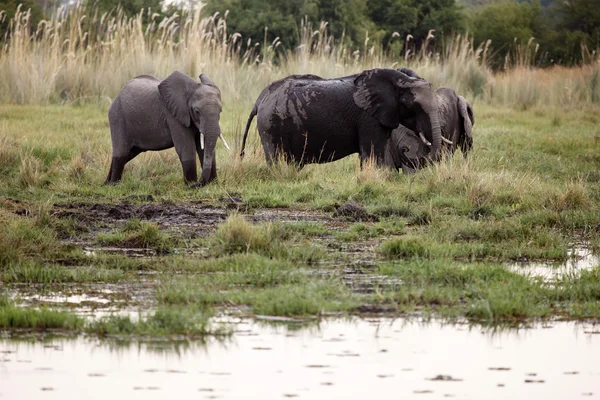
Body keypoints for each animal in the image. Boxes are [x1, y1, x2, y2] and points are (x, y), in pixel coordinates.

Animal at [238, 68, 440, 168]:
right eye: (412, 106)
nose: (407, 149)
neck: (401, 80)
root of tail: (260, 99)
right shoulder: (368, 118)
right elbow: (373, 153)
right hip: (270, 124)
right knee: (276, 157)